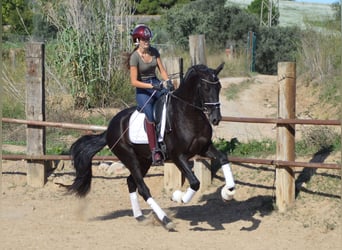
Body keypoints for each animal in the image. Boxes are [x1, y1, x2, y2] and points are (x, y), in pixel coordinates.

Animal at [68, 64, 236, 230]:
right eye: (206, 88)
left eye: (219, 87)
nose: (216, 119)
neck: (188, 114)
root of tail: (110, 128)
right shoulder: (178, 157)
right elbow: (195, 183)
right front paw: (178, 197)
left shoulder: (204, 148)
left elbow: (223, 158)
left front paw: (227, 192)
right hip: (129, 158)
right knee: (143, 188)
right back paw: (166, 220)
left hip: (144, 160)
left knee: (131, 182)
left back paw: (140, 216)